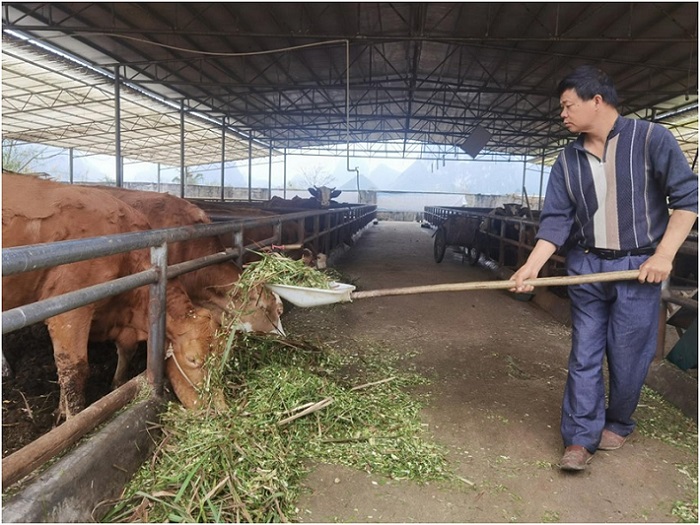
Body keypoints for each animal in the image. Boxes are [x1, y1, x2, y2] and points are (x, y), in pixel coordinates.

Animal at [1, 173, 216, 418]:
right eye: (192, 359)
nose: (217, 409)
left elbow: (124, 353)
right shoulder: (68, 310)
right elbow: (73, 372)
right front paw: (72, 417)